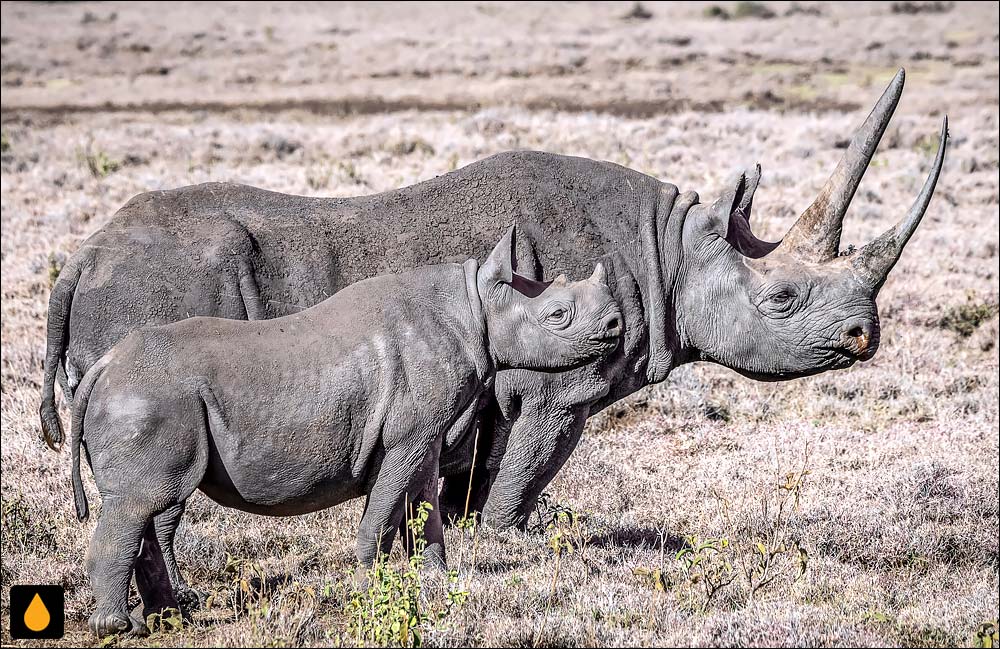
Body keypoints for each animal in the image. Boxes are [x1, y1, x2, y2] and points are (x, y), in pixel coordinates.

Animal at [68, 229, 616, 636]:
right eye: (559, 316)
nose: (616, 324)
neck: (475, 306)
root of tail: (103, 366)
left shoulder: (423, 435)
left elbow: (424, 509)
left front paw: (436, 579)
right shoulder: (408, 438)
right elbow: (384, 510)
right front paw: (368, 588)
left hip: (147, 398)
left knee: (147, 507)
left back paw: (170, 619)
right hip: (149, 399)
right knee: (142, 502)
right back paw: (119, 628)